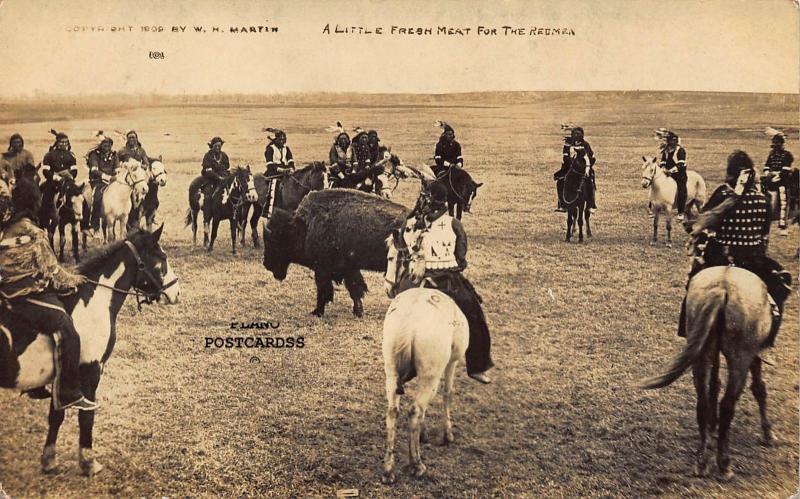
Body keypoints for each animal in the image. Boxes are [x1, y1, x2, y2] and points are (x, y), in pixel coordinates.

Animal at [264, 189, 406, 318]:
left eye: (273, 242)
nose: (266, 264)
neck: (304, 227)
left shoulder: (323, 270)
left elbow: (324, 292)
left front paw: (317, 312)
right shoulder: (349, 269)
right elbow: (355, 290)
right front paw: (358, 312)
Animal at [380, 225, 468, 486]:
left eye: (391, 257)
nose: (388, 287)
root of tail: (410, 322)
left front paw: (425, 432)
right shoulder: (451, 363)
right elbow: (448, 393)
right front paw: (446, 434)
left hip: (391, 371)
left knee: (393, 411)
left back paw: (388, 469)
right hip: (431, 374)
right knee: (414, 410)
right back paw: (416, 464)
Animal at [640, 268, 780, 482]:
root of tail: (722, 288)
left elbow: (715, 385)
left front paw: (712, 428)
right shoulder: (754, 355)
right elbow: (759, 388)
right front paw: (768, 434)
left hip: (702, 354)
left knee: (703, 402)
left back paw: (702, 461)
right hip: (739, 358)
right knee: (727, 405)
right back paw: (724, 465)